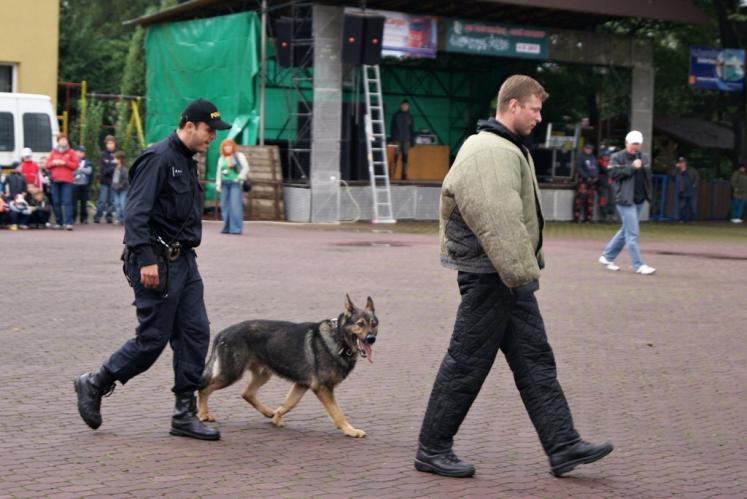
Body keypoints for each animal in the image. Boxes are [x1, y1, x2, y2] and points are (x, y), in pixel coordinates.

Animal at [196, 294, 376, 440]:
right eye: (360, 324)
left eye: (373, 324)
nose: (371, 339)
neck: (338, 337)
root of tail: (222, 333)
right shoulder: (323, 388)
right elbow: (337, 413)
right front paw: (350, 430)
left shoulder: (302, 385)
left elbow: (288, 404)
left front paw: (276, 418)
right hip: (231, 374)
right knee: (204, 389)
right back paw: (203, 414)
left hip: (263, 374)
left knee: (246, 393)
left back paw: (268, 412)